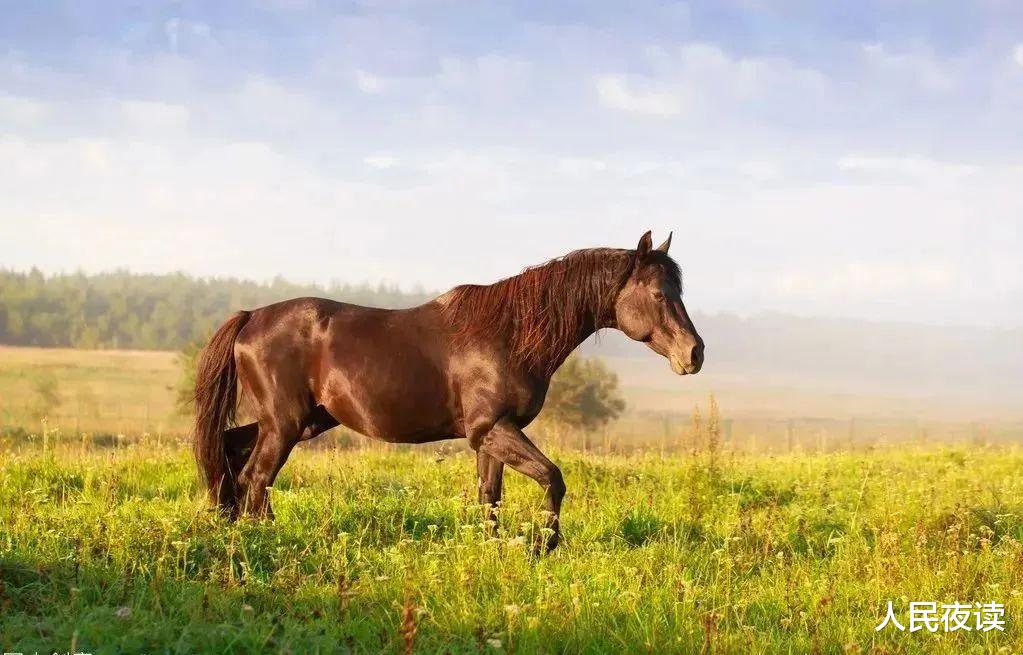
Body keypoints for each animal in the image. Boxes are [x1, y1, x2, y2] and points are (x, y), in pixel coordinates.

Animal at [192, 230, 703, 552]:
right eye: (659, 295)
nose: (694, 353)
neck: (508, 334)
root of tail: (252, 317)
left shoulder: (491, 437)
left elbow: (489, 497)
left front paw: (497, 550)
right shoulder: (491, 429)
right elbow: (553, 478)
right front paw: (543, 546)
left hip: (300, 422)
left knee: (232, 454)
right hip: (286, 424)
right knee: (257, 478)